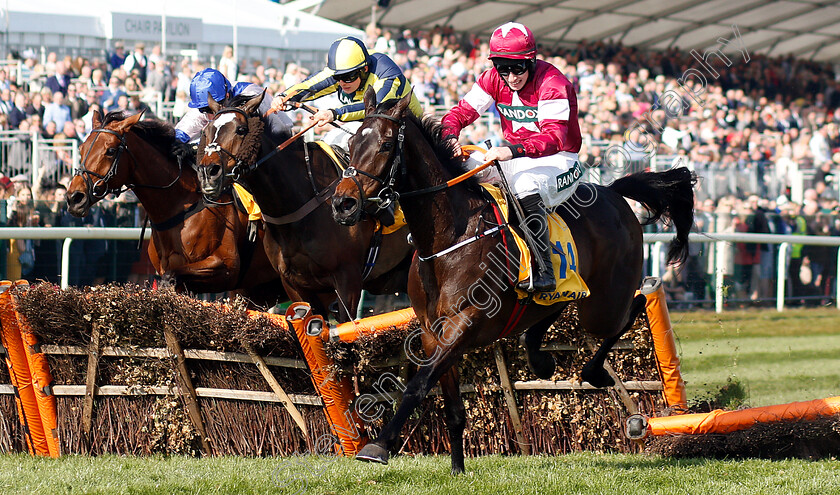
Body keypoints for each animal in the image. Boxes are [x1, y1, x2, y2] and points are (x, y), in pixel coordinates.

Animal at [63, 110, 286, 308]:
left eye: (110, 151)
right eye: (81, 149)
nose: (74, 197)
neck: (178, 205)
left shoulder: (226, 266)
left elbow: (170, 279)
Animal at [330, 91, 696, 474]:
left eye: (386, 145)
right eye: (352, 144)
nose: (343, 204)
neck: (449, 239)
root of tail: (614, 193)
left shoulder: (464, 323)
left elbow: (417, 385)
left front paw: (378, 446)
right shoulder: (433, 332)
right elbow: (450, 404)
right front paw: (457, 468)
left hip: (605, 304)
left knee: (632, 307)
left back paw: (594, 370)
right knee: (560, 304)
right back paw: (537, 355)